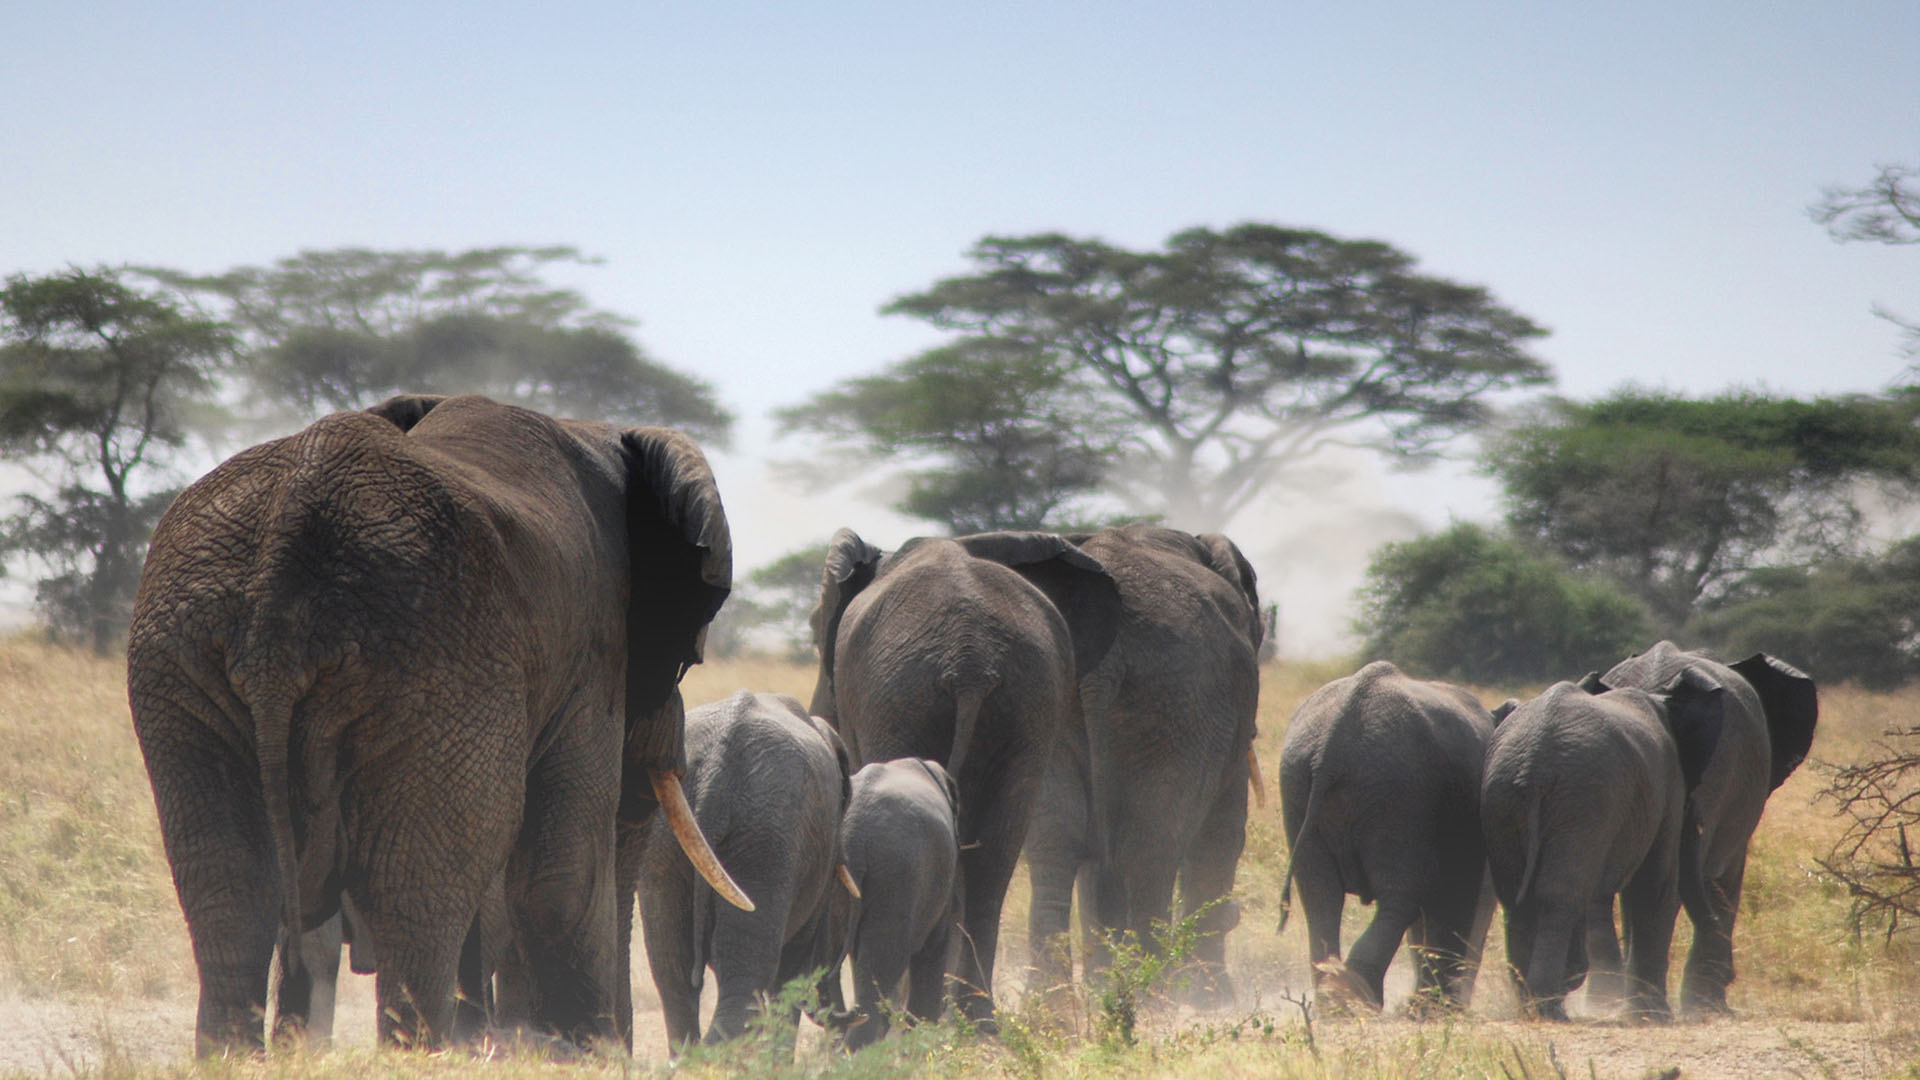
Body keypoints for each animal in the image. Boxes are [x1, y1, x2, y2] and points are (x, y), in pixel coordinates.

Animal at [126, 393, 747, 1054]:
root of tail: (284, 544)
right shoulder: (594, 647)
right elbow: (565, 870)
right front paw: (586, 1056)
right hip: (439, 664)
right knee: (415, 890)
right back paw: (415, 1054)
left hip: (179, 658)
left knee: (229, 886)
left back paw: (235, 1057)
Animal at [638, 690, 853, 1052]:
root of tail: (716, 770)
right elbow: (792, 970)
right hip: (767, 838)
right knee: (746, 978)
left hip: (664, 835)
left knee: (672, 972)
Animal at [1023, 524, 1262, 1006]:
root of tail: (1107, 655)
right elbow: (1224, 832)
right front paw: (1214, 999)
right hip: (1182, 702)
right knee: (1153, 840)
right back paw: (1154, 988)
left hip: (1054, 697)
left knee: (1058, 838)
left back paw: (1054, 1000)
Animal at [1276, 661, 1496, 1013]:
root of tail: (1332, 742)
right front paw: (1439, 1008)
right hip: (1397, 789)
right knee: (1404, 892)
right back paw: (1360, 998)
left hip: (1303, 782)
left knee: (1319, 894)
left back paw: (1337, 1000)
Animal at [1480, 675, 1724, 1021]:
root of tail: (1534, 765)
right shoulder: (1667, 787)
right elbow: (1657, 883)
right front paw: (1654, 1017)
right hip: (1581, 801)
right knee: (1559, 895)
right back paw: (1549, 1008)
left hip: (1505, 799)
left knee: (1515, 898)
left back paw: (1532, 1006)